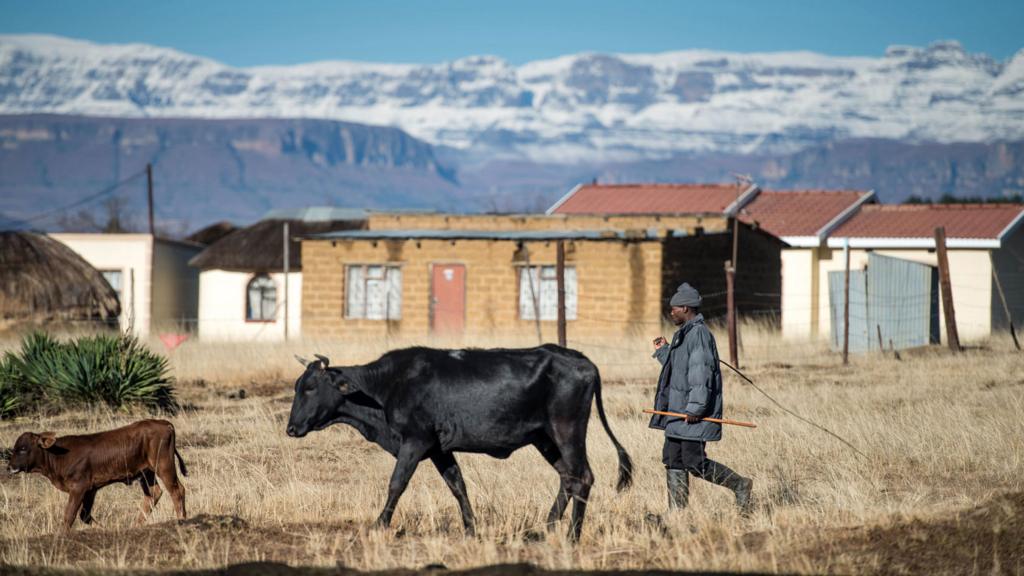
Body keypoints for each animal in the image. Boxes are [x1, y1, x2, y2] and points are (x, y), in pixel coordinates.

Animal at [6, 416, 188, 528]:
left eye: (23, 449)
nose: (9, 467)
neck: (58, 457)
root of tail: (163, 422)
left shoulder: (79, 487)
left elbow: (69, 515)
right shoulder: (91, 489)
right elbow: (84, 515)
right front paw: (103, 528)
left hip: (163, 465)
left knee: (177, 490)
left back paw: (181, 521)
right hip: (146, 472)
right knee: (153, 493)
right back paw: (135, 525)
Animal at [284, 344, 626, 537]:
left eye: (311, 387)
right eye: (298, 386)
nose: (291, 428)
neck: (386, 386)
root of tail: (583, 361)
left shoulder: (415, 441)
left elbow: (397, 483)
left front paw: (379, 525)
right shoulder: (439, 449)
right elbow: (457, 485)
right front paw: (471, 528)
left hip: (567, 431)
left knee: (582, 477)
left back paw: (572, 535)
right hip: (546, 439)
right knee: (568, 477)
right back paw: (548, 526)